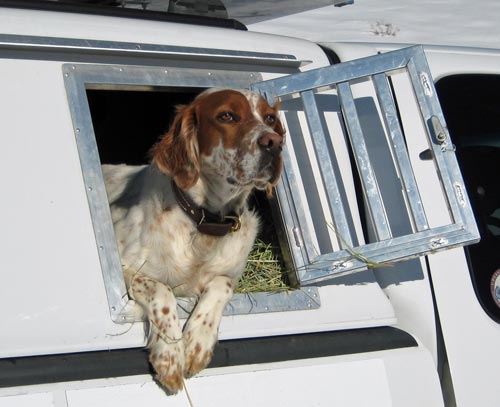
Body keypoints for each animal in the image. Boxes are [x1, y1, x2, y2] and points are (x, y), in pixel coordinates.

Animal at [101, 88, 286, 392]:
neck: (205, 225)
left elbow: (221, 285)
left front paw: (197, 342)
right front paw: (170, 354)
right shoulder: (126, 268)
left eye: (270, 118)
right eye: (227, 116)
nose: (275, 143)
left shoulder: (229, 274)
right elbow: (162, 290)